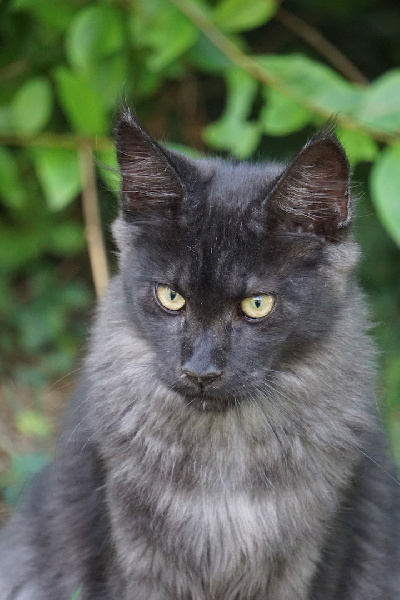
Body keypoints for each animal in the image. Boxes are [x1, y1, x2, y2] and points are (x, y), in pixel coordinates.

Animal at [0, 108, 400, 600]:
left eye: (257, 304)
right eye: (171, 296)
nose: (200, 370)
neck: (224, 452)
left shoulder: (320, 553)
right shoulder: (135, 556)